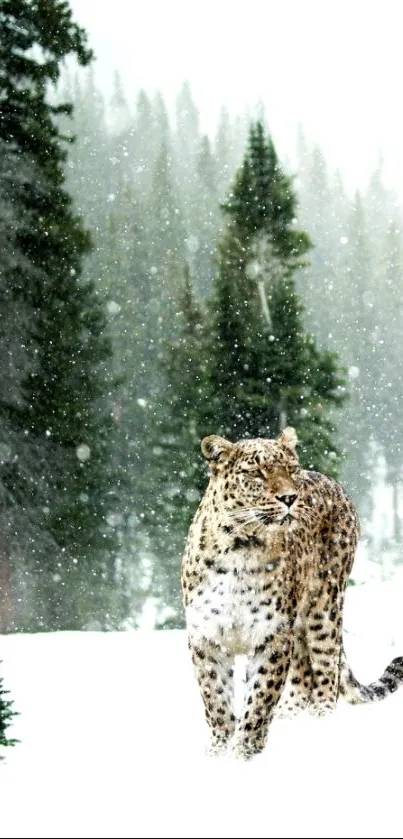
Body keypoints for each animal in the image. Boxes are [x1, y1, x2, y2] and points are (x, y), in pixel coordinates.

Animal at [182, 426, 403, 760]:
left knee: (326, 672)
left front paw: (244, 754)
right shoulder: (207, 636)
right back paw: (291, 717)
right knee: (303, 676)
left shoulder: (271, 636)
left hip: (324, 608)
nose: (289, 497)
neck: (240, 548)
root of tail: (334, 483)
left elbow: (259, 700)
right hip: (297, 627)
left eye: (291, 469)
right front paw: (218, 752)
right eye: (256, 472)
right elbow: (216, 700)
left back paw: (319, 726)